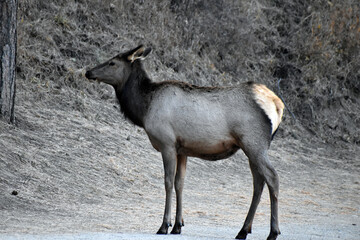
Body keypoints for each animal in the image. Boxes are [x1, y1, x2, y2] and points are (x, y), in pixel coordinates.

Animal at [85, 45, 284, 240]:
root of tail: (277, 104)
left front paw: (164, 225)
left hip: (254, 142)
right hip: (251, 147)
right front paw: (178, 225)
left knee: (272, 176)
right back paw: (243, 230)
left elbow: (168, 182)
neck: (144, 109)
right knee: (258, 182)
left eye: (112, 62)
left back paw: (273, 232)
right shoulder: (182, 149)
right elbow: (180, 183)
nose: (88, 72)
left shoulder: (167, 144)